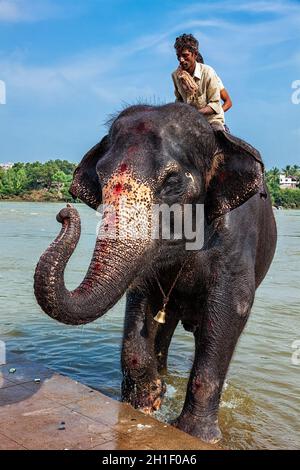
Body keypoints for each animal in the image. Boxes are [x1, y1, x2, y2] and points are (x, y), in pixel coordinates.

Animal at [33, 103, 276, 444]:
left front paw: (197, 435)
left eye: (172, 182)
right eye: (101, 177)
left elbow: (232, 307)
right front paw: (146, 403)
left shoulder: (237, 240)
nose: (64, 212)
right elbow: (139, 296)